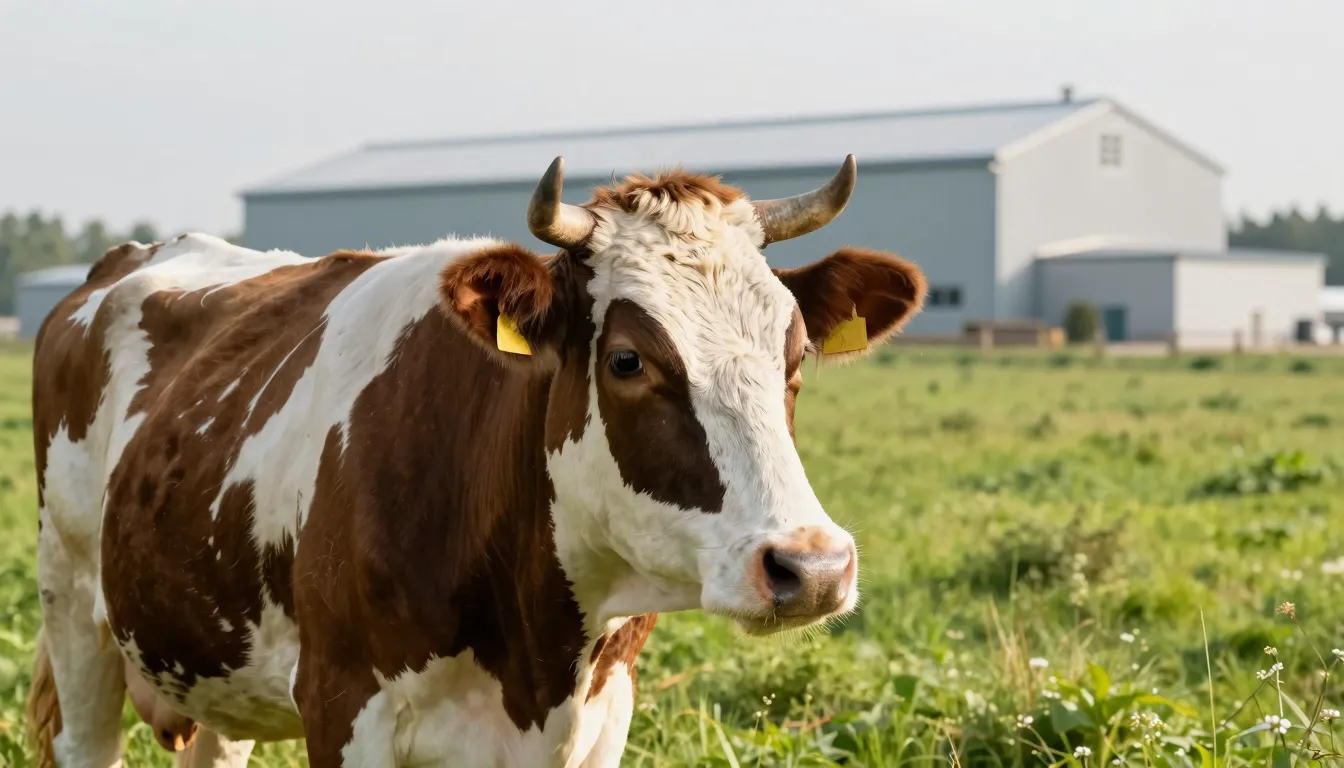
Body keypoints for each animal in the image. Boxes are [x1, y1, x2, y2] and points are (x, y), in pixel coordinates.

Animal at [25, 155, 926, 767]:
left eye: (795, 355)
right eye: (627, 360)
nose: (812, 567)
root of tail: (127, 260)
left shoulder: (603, 718)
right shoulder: (343, 706)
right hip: (73, 613)